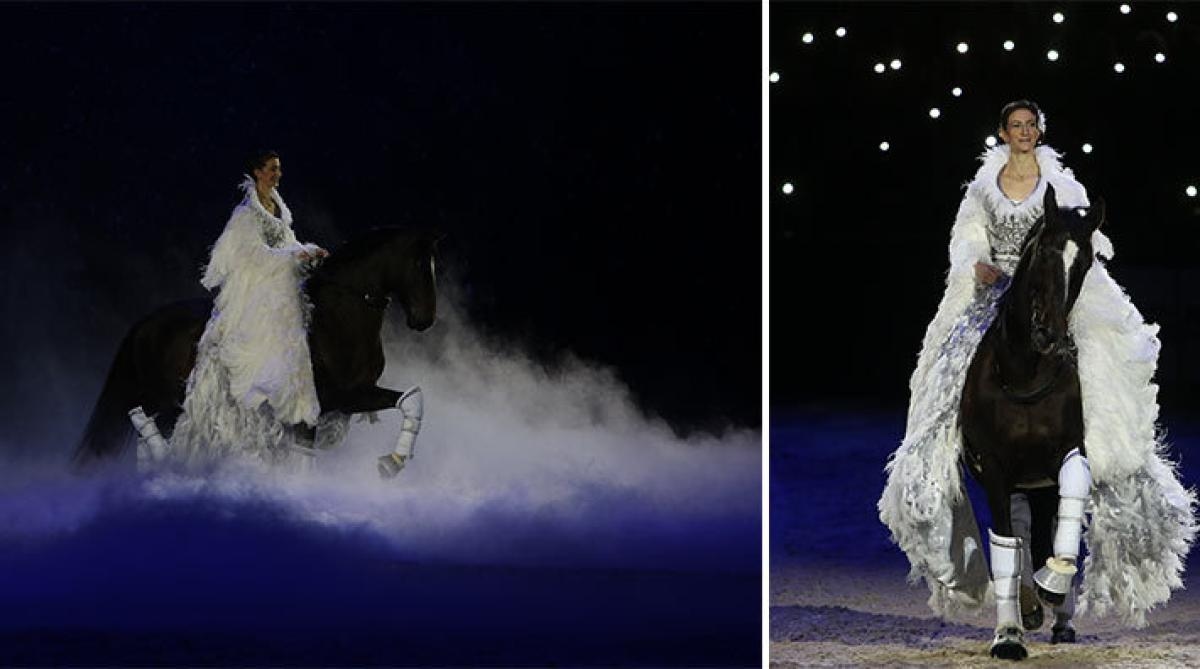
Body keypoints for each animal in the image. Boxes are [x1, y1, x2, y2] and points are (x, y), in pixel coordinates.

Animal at [960, 183, 1099, 661]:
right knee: (1020, 532)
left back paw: (1060, 616)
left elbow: (1071, 492)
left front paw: (1054, 583)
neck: (1025, 374)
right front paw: (1008, 635)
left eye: (1085, 263)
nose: (1051, 338)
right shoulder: (995, 469)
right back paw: (1027, 605)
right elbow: (1006, 542)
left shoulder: (1066, 450)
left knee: (1047, 526)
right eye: (1043, 254)